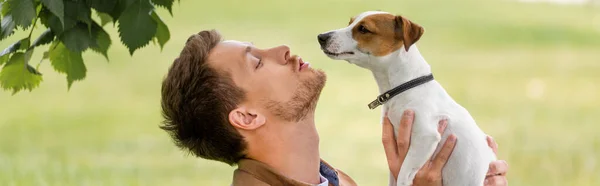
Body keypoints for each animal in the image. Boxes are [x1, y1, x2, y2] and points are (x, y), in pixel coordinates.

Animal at [318, 10, 496, 185]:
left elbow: (403, 175)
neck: (405, 86)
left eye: (363, 29)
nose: (321, 36)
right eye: (350, 23)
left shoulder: (426, 137)